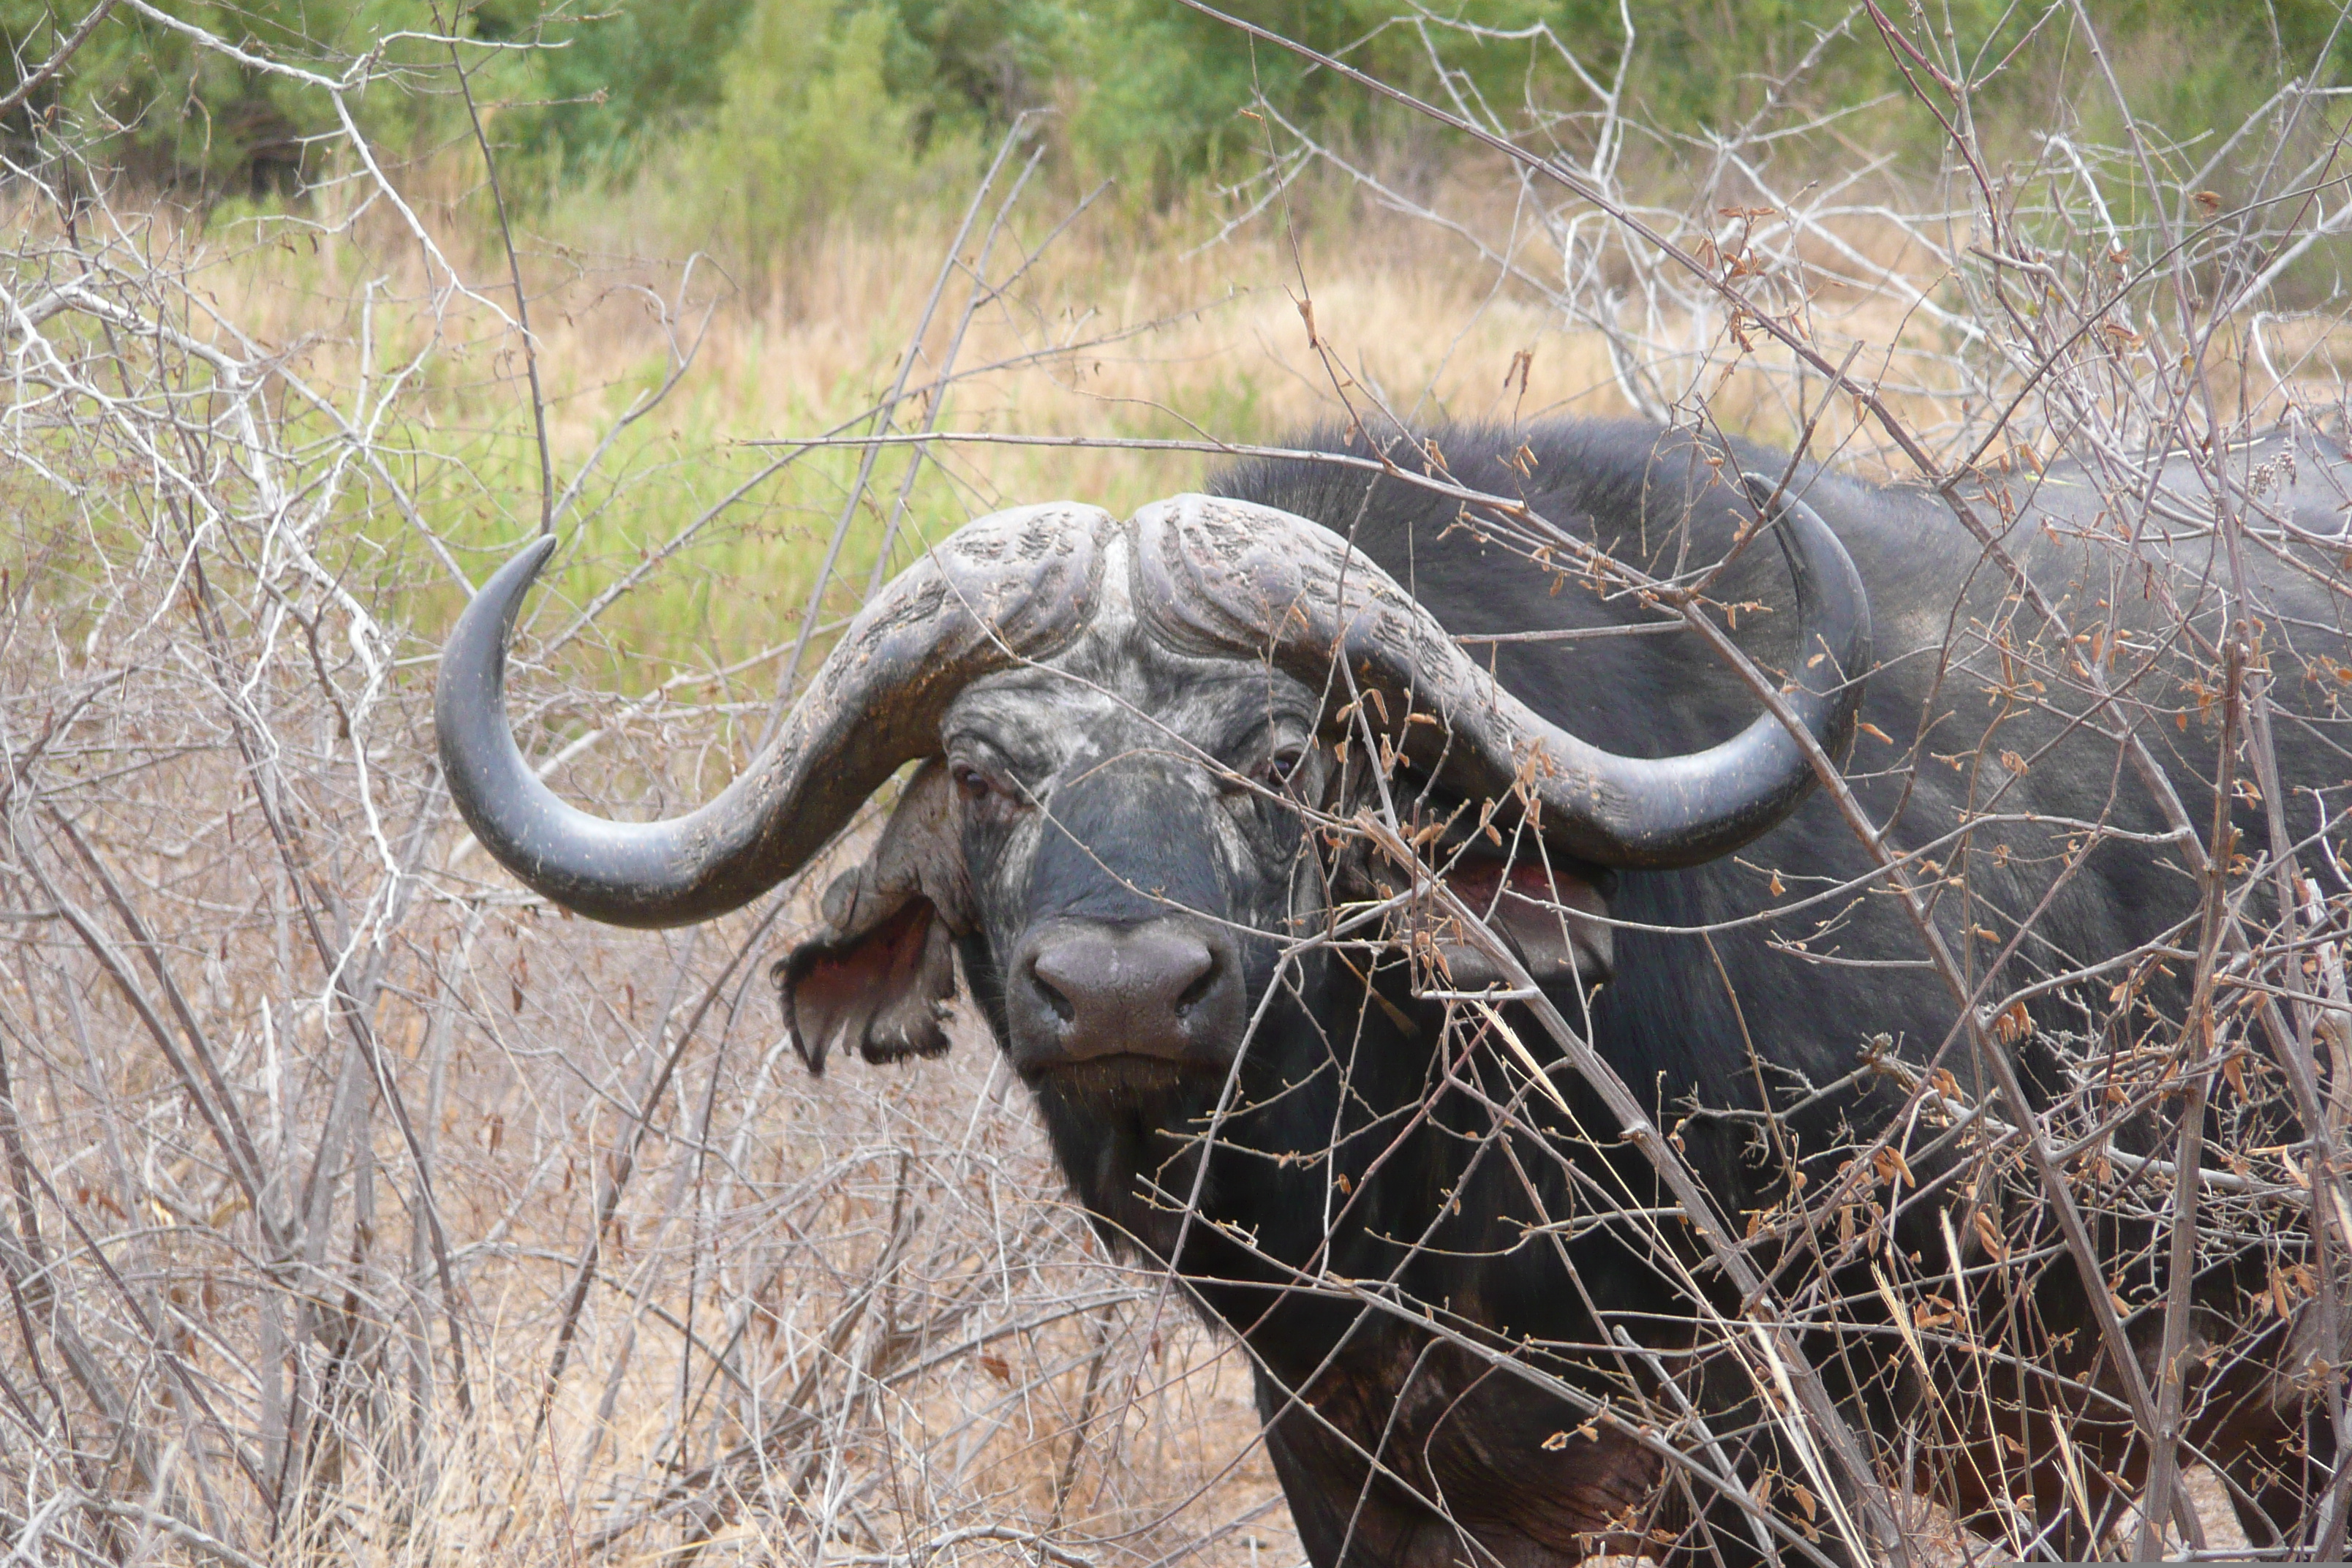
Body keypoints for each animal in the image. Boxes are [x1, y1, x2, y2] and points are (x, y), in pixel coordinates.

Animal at [432, 421, 2342, 1568]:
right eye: (981, 774)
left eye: (1285, 756)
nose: (1119, 988)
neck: (1425, 1193)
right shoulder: (1345, 1465)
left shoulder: (1775, 1449)